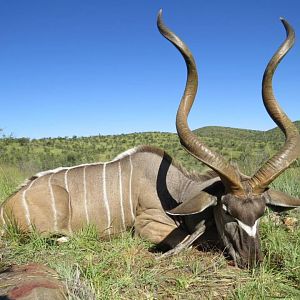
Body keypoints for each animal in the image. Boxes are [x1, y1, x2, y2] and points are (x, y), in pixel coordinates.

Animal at [0, 11, 300, 268]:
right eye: (226, 210)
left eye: (261, 213)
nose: (253, 260)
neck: (180, 191)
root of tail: (7, 205)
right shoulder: (147, 225)